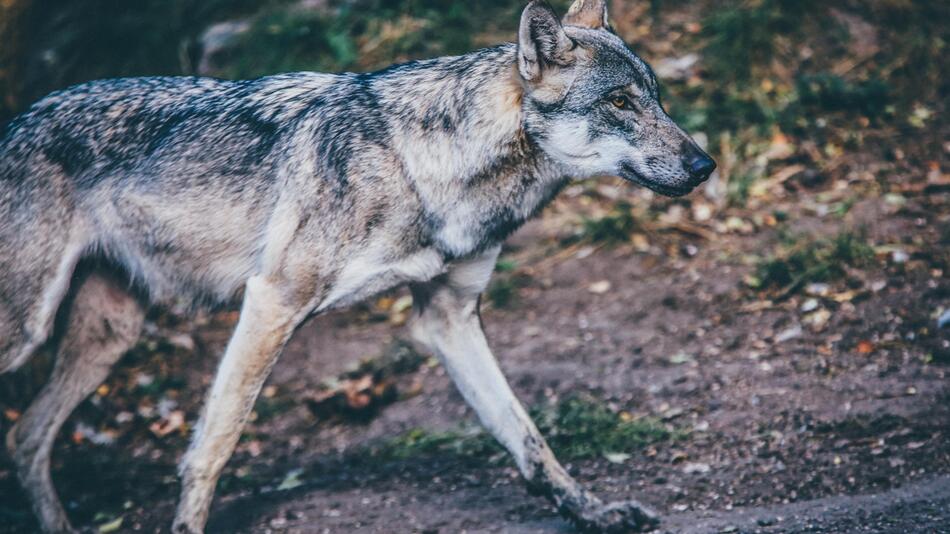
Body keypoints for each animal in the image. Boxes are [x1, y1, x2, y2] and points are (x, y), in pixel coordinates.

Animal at [0, 2, 712, 532]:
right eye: (619, 102)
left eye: (655, 97)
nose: (705, 164)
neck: (423, 165)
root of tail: (16, 119)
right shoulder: (272, 301)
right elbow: (213, 447)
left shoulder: (449, 317)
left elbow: (529, 438)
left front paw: (595, 512)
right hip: (30, 330)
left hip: (108, 338)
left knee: (28, 437)